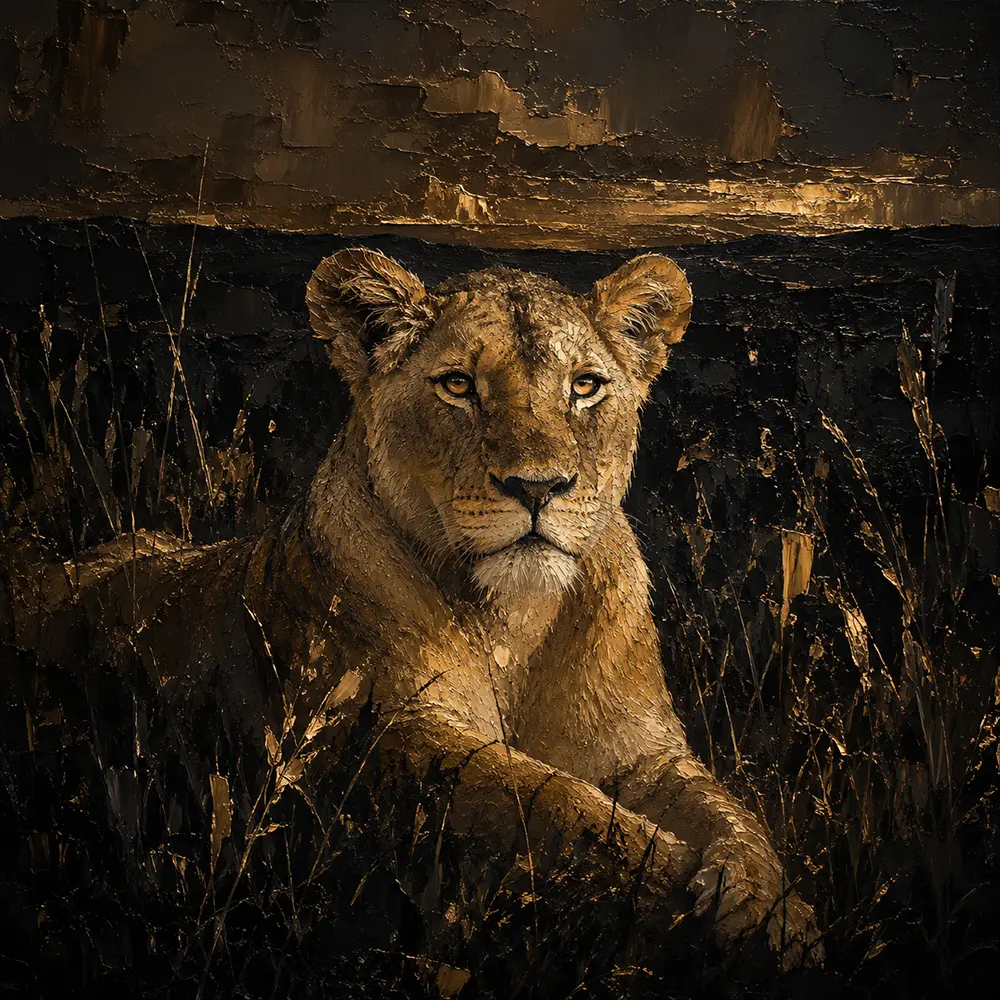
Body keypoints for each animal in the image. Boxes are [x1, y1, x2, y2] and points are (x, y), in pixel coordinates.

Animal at [6, 249, 820, 980]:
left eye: (585, 386)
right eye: (458, 385)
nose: (539, 487)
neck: (516, 622)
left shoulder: (642, 751)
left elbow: (727, 810)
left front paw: (774, 910)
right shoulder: (380, 737)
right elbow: (557, 803)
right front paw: (684, 900)